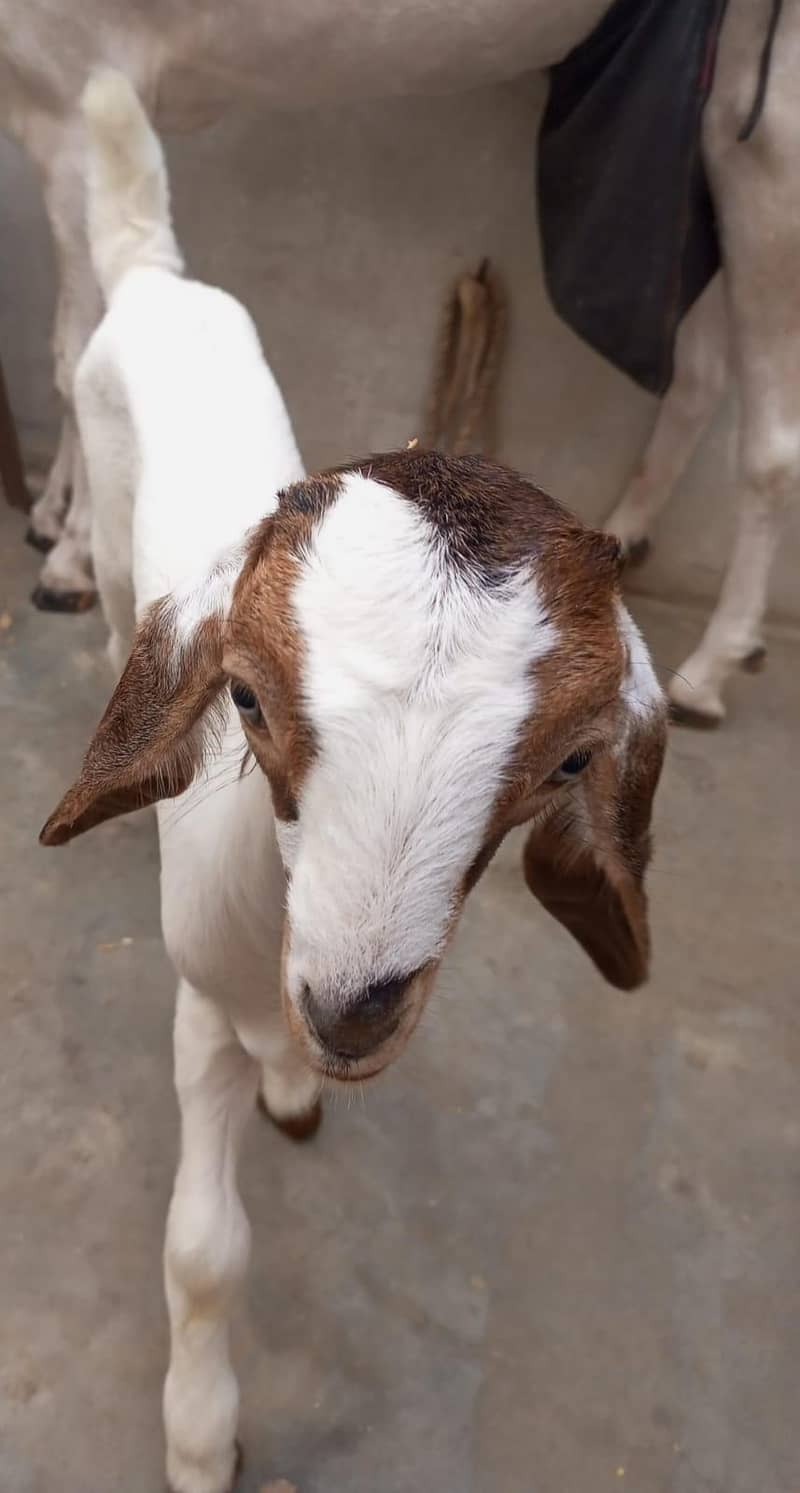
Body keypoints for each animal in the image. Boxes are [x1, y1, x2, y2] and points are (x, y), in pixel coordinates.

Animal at [2, 0, 796, 725]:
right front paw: (51, 512)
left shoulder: (68, 89)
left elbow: (70, 346)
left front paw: (66, 556)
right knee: (700, 376)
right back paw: (629, 538)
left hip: (766, 125)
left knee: (770, 444)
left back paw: (711, 665)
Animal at [39, 73, 666, 1493]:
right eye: (246, 698)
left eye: (568, 758)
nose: (353, 1006)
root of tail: (152, 271)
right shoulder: (200, 1008)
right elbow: (203, 1251)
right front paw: (200, 1436)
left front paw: (297, 1080)